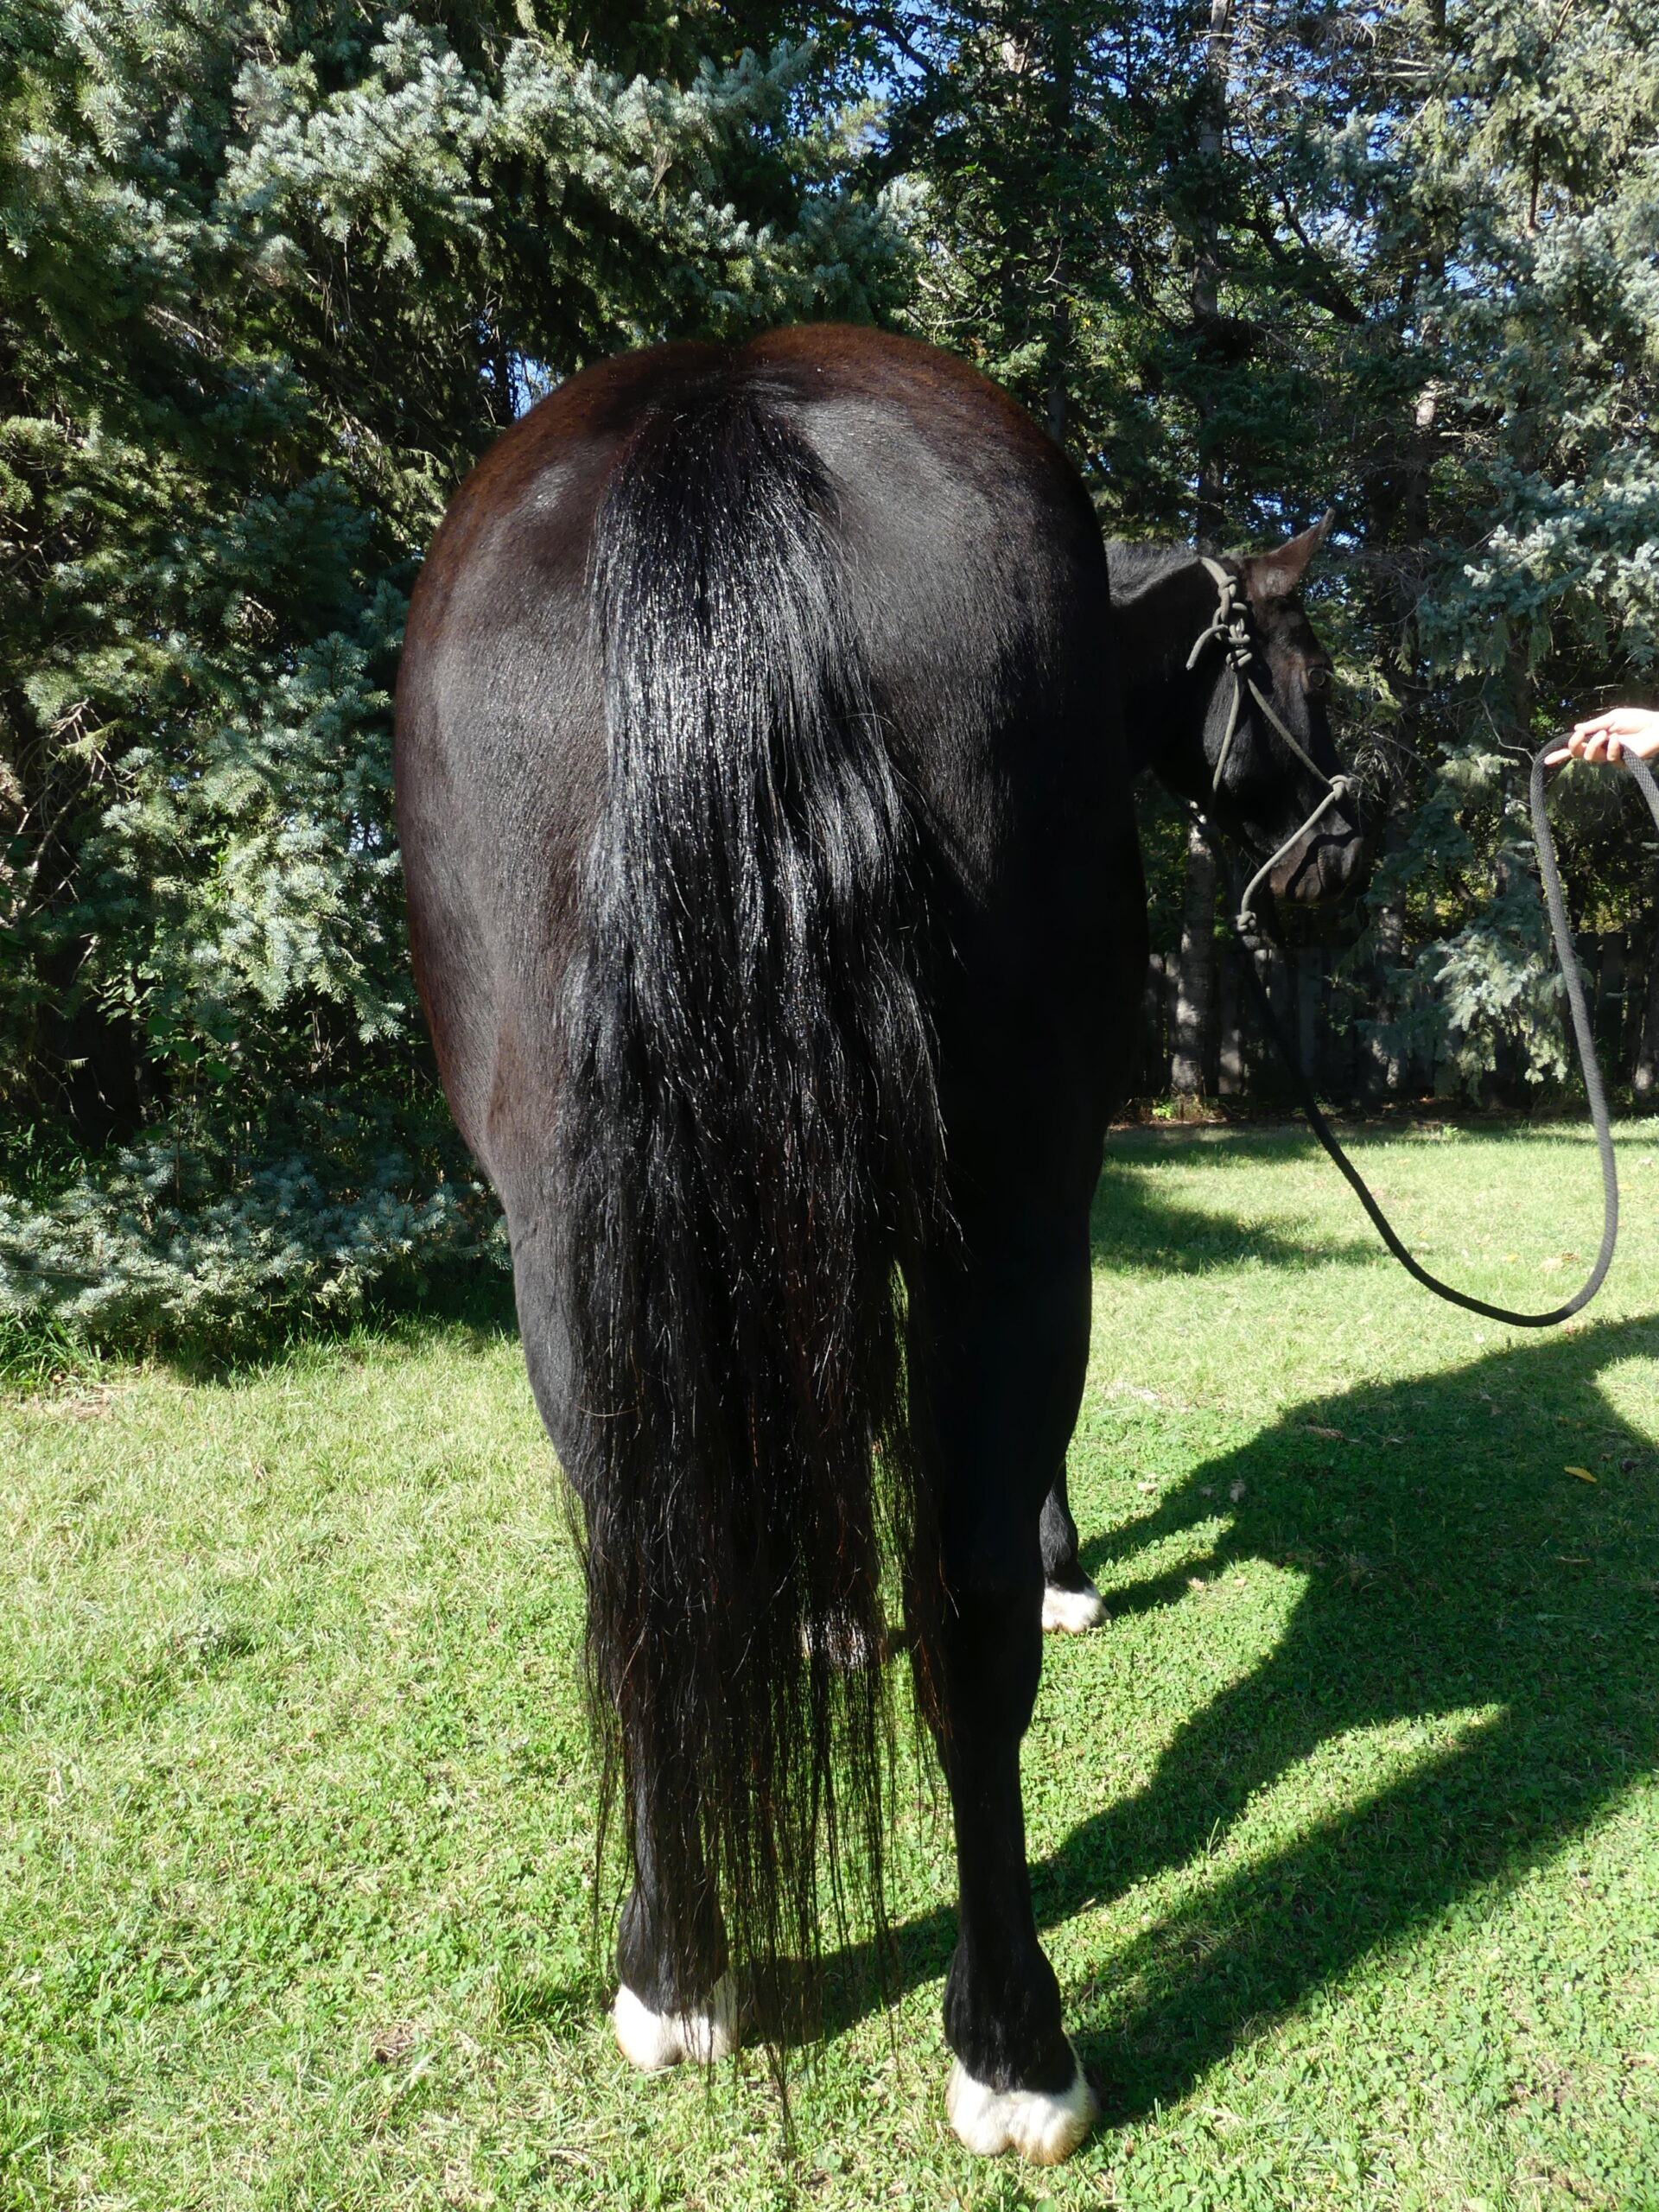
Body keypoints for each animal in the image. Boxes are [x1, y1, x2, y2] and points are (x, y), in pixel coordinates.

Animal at [393, 322, 1363, 2164]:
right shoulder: (1038, 1200)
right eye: (1308, 666)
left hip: (569, 1246)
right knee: (970, 1623)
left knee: (637, 1577)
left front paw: (824, 1622)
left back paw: (678, 1971)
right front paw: (1058, 1573)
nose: (1350, 844)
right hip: (1004, 1219)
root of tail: (714, 413)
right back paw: (1013, 2046)